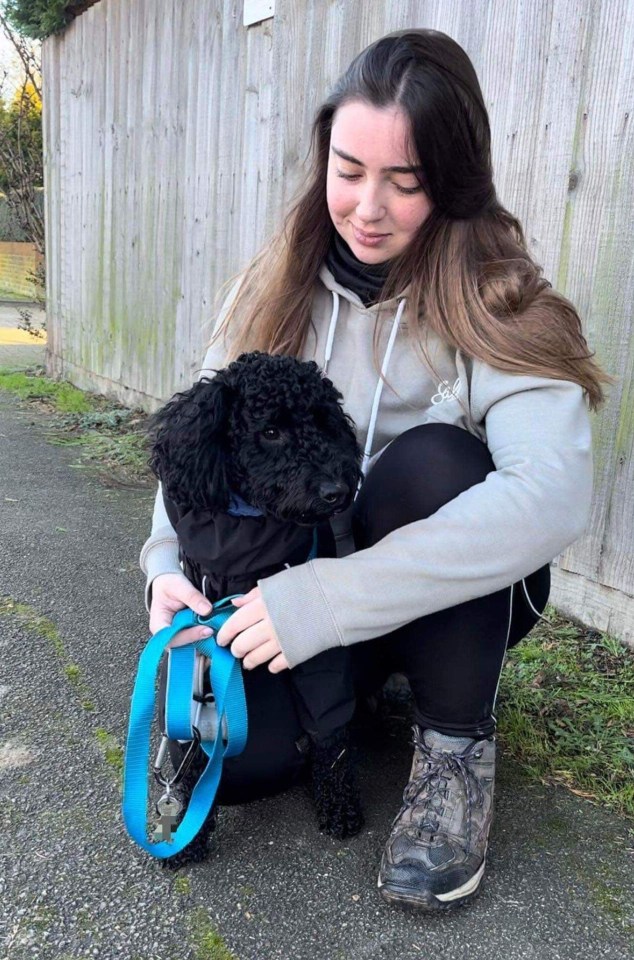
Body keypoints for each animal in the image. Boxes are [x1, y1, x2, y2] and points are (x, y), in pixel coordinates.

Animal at [148, 352, 362, 864]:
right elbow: (190, 750)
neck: (244, 545)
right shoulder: (195, 652)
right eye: (270, 431)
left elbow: (332, 735)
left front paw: (339, 806)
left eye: (324, 422)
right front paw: (187, 828)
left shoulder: (318, 660)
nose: (336, 490)